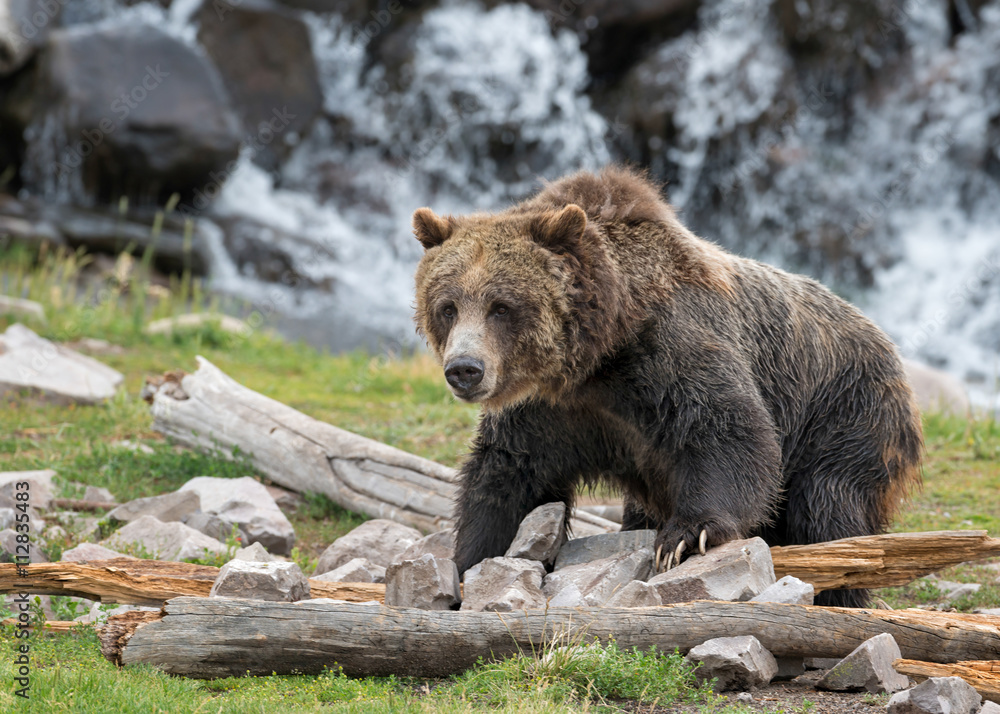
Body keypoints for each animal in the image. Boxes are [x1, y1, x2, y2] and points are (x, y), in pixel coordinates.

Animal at [408, 164, 920, 604]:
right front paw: (468, 561)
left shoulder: (668, 354)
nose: (465, 368)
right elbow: (508, 475)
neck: (597, 356)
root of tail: (886, 343)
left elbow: (728, 430)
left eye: (502, 306)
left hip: (844, 415)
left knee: (828, 509)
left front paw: (685, 537)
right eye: (447, 305)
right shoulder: (552, 412)